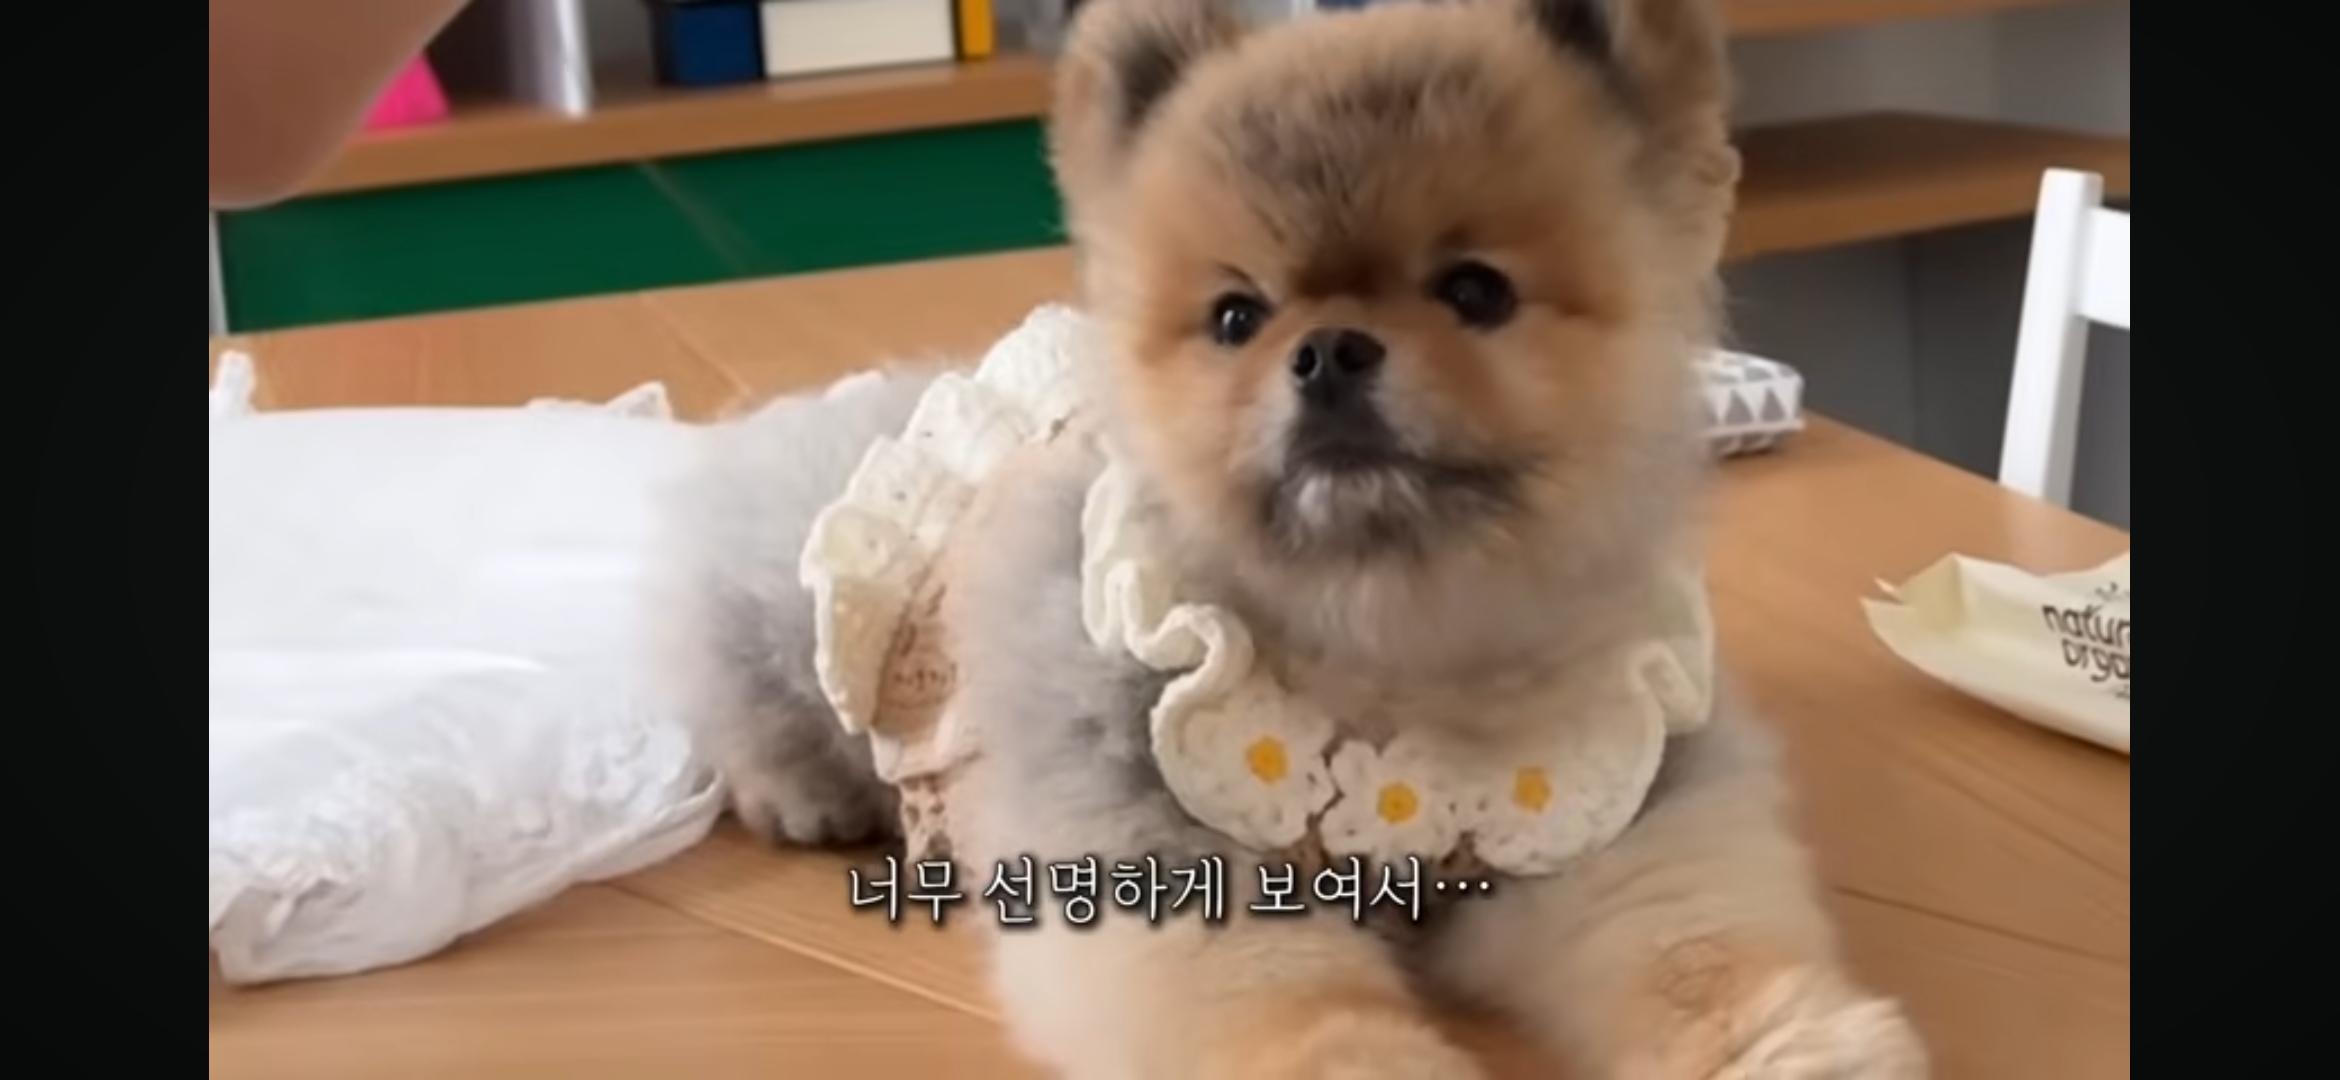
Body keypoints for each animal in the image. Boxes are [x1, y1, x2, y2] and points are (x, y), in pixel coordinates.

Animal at [647, 1, 1926, 1076]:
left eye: (1475, 292)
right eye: (1236, 318)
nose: (1327, 349)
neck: (1384, 650)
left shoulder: (1615, 822)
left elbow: (1696, 953)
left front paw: (1804, 1050)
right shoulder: (1155, 862)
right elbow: (1299, 1011)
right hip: (786, 616)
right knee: (733, 692)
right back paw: (804, 795)